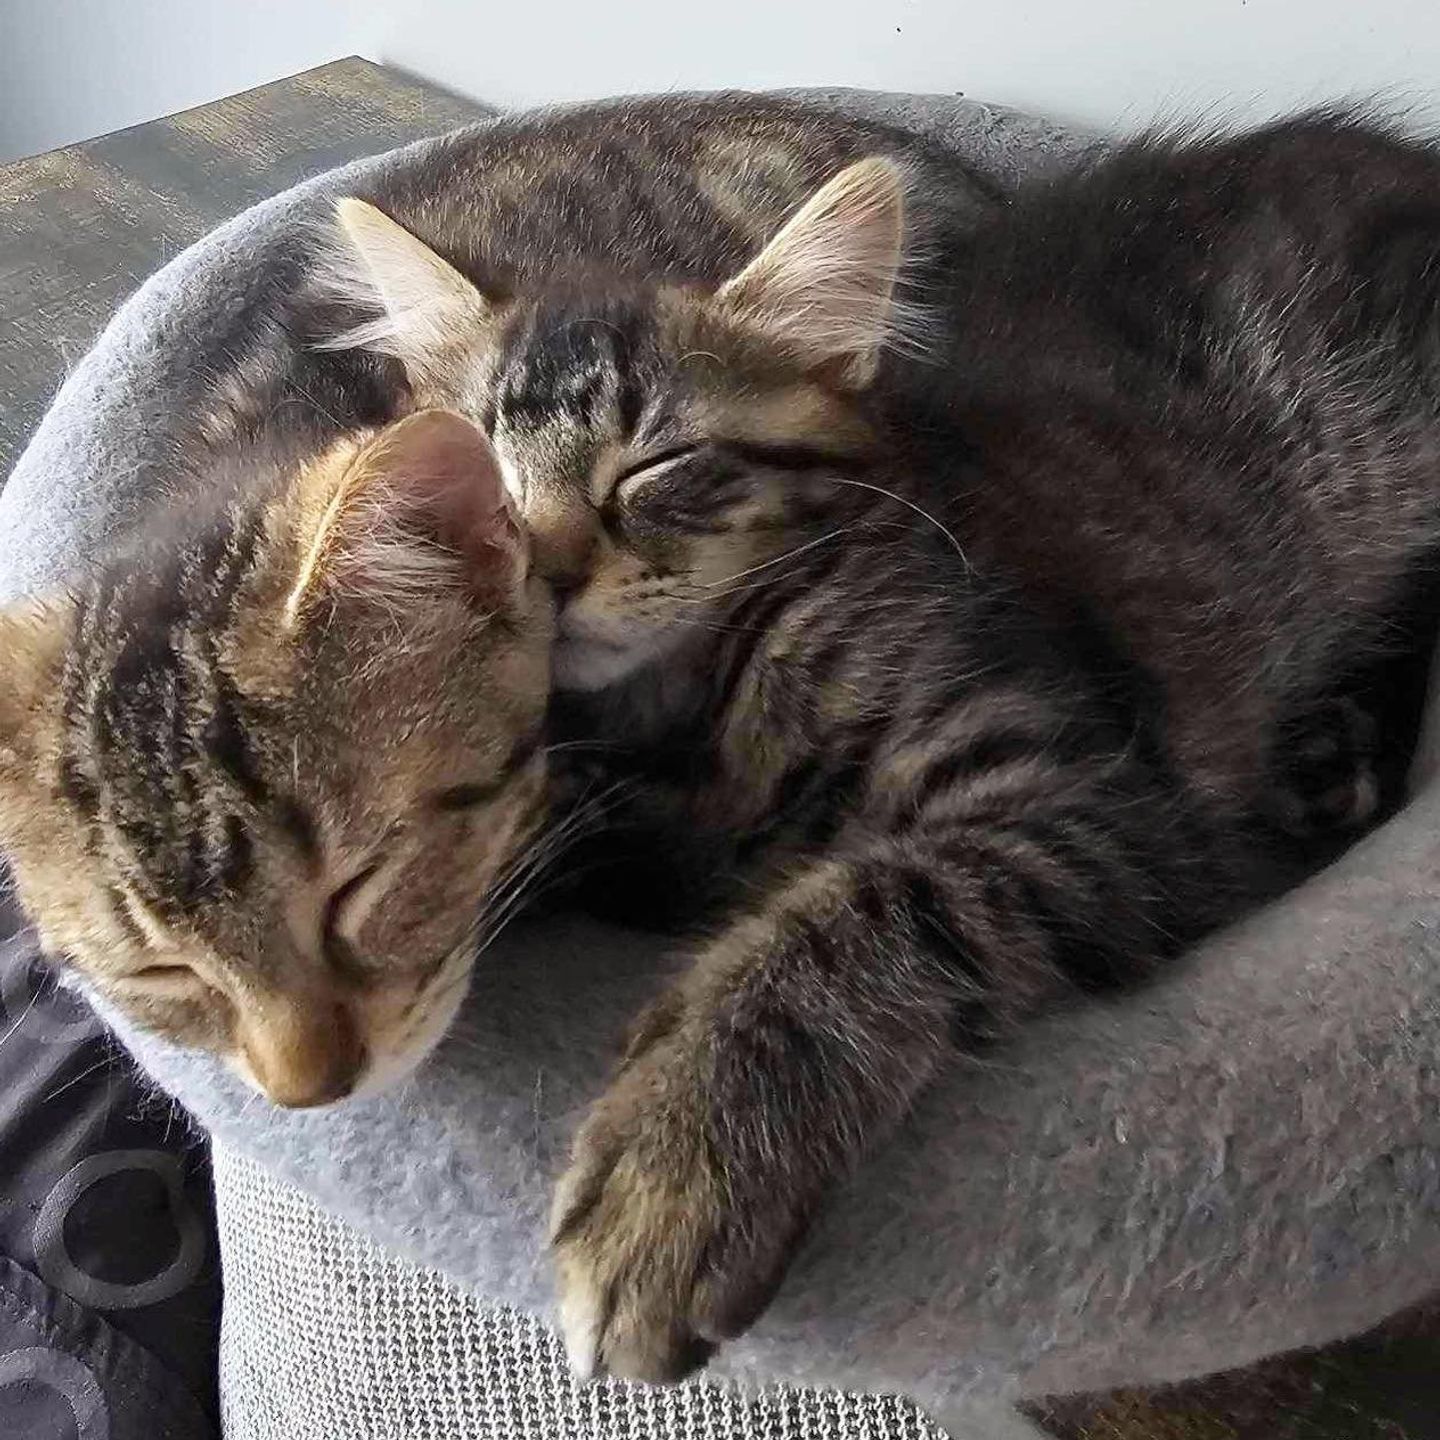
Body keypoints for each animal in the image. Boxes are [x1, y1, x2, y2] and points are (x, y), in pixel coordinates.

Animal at [324, 115, 1440, 1382]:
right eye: (479, 469)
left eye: (656, 467)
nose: (545, 574)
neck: (681, 704)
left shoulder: (1087, 792)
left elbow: (855, 913)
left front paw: (677, 1168)